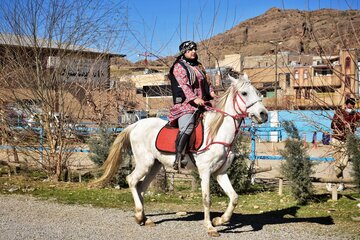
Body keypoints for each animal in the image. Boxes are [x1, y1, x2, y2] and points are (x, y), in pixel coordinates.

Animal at [92, 74, 268, 236]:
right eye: (244, 93)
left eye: (257, 92)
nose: (263, 114)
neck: (217, 132)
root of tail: (135, 124)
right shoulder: (205, 172)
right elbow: (207, 199)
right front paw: (210, 227)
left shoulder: (220, 172)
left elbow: (234, 197)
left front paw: (220, 220)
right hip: (145, 163)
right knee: (131, 180)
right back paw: (139, 215)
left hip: (155, 166)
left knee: (140, 187)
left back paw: (144, 218)